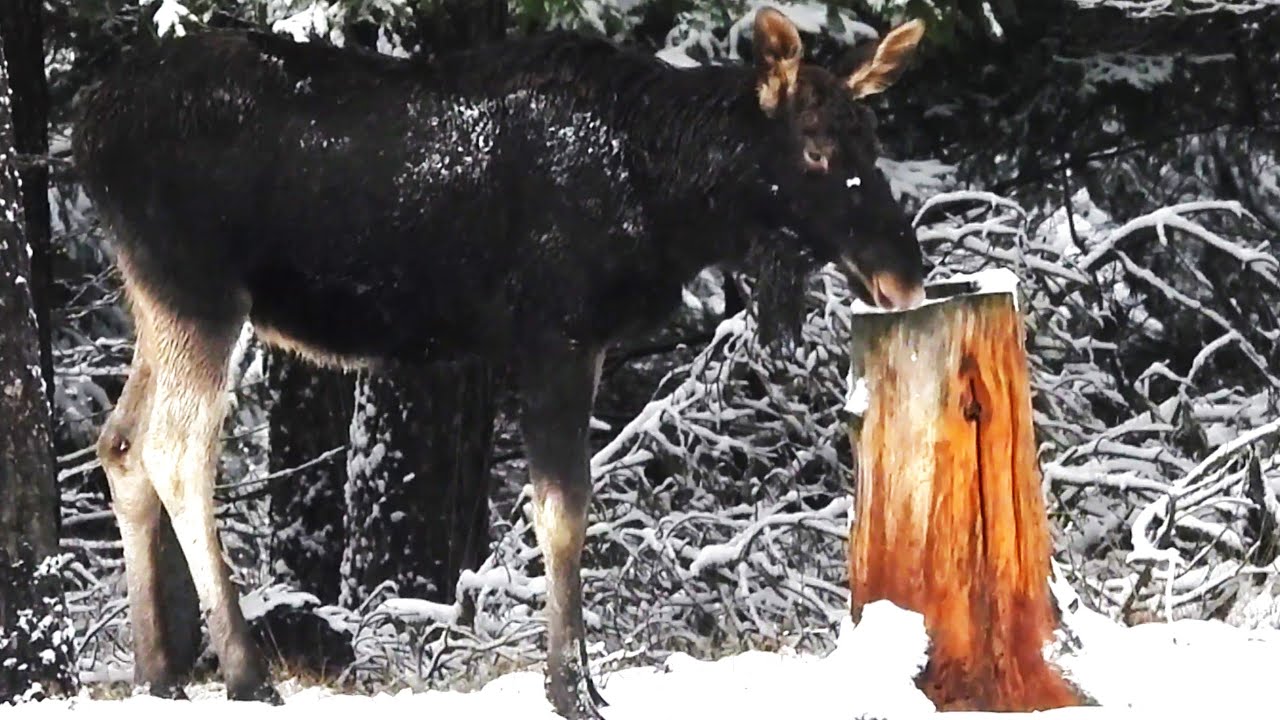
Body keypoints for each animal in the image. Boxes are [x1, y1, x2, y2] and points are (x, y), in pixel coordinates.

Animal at [73, 7, 927, 718]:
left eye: (876, 144)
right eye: (815, 151)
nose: (903, 277)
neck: (673, 200)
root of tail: (85, 130)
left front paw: (583, 681)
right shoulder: (557, 335)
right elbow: (563, 512)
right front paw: (570, 688)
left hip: (157, 297)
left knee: (119, 440)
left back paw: (159, 673)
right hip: (201, 292)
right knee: (176, 450)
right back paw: (246, 675)